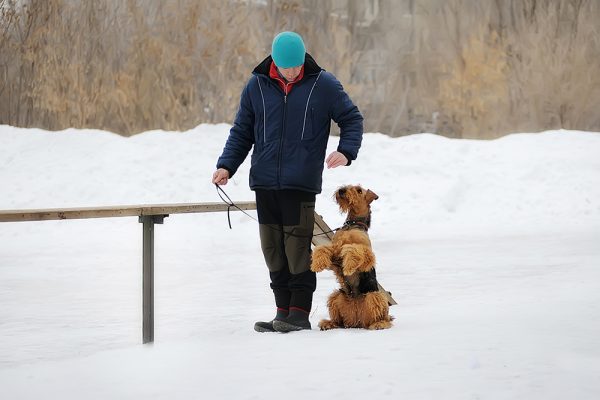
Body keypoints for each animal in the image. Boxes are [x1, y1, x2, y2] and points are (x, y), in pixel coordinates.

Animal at [312, 186, 392, 330]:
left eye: (359, 190)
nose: (341, 190)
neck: (353, 224)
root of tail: (357, 321)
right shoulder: (335, 252)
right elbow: (323, 249)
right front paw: (317, 264)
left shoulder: (367, 254)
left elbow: (352, 249)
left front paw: (349, 267)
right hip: (336, 297)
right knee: (339, 321)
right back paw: (328, 323)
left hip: (375, 296)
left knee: (385, 318)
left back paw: (379, 324)